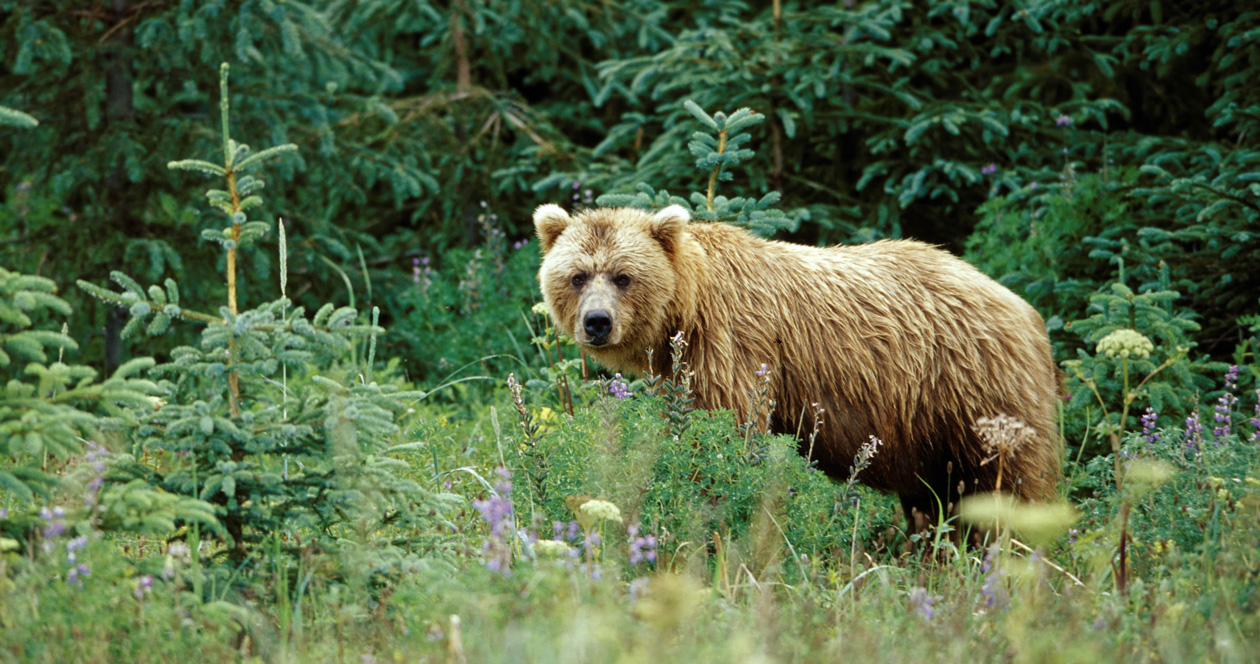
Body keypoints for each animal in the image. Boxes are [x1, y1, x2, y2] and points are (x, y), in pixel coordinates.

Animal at [533, 203, 1062, 528]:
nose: (597, 322)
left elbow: (728, 436)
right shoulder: (681, 371)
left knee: (1011, 480)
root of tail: (1023, 307)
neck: (686, 309)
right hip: (926, 427)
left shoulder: (732, 351)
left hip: (973, 388)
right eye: (577, 275)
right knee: (934, 497)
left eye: (623, 276)